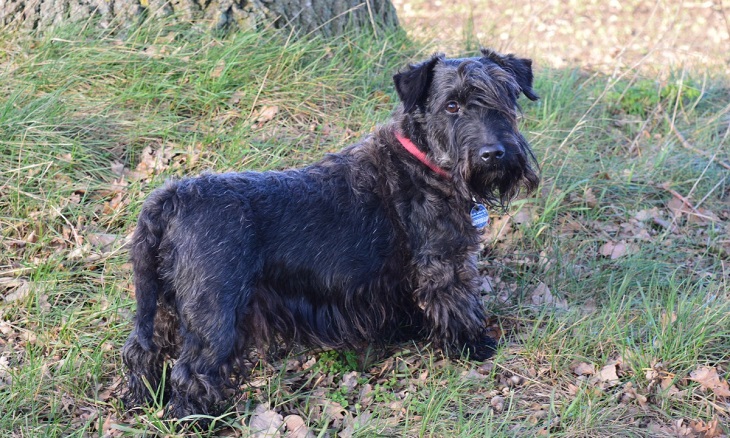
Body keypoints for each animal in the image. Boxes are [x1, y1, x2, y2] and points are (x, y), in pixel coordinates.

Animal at [122, 47, 536, 418]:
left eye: (506, 96)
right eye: (451, 106)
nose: (493, 154)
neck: (424, 160)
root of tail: (170, 199)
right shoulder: (445, 263)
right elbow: (458, 305)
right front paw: (475, 346)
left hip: (164, 304)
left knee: (142, 351)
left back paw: (139, 399)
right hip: (215, 314)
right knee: (193, 373)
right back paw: (195, 419)